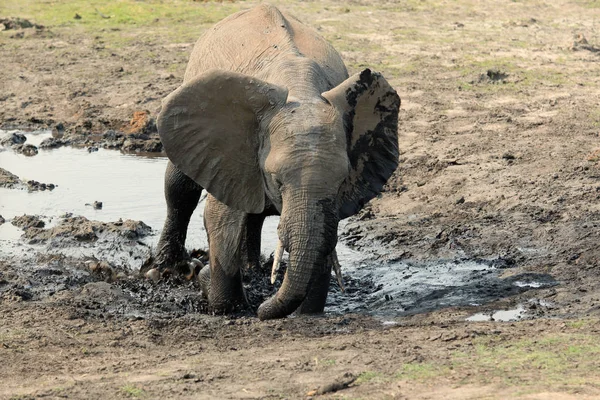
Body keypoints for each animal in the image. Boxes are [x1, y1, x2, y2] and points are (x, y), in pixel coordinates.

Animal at [152, 3, 400, 320]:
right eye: (277, 180)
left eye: (341, 181)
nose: (261, 308)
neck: (299, 89)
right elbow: (220, 220)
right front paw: (222, 298)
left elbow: (322, 236)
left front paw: (305, 314)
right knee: (180, 189)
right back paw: (167, 272)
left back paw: (252, 270)